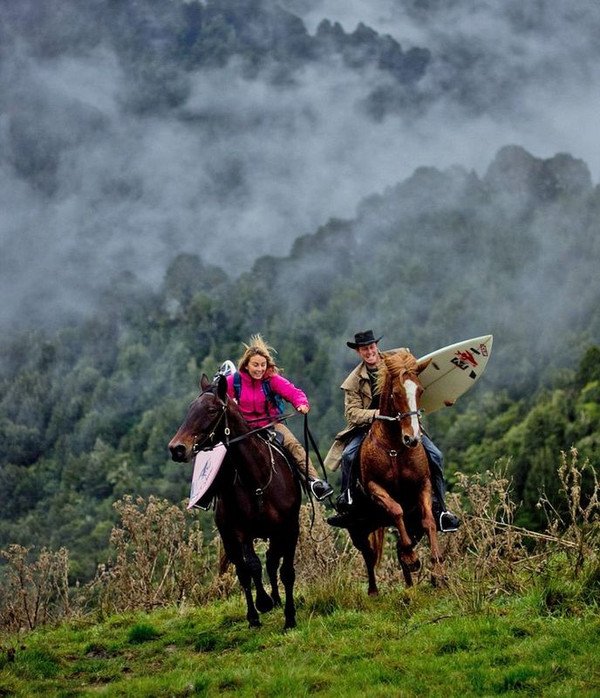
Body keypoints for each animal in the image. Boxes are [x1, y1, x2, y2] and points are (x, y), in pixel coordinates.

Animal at [168, 373, 301, 630]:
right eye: (190, 407)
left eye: (211, 410)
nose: (176, 449)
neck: (258, 480)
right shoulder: (240, 532)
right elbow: (252, 567)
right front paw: (263, 603)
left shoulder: (289, 528)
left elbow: (286, 571)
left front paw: (289, 618)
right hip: (229, 537)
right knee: (244, 570)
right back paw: (254, 616)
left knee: (272, 561)